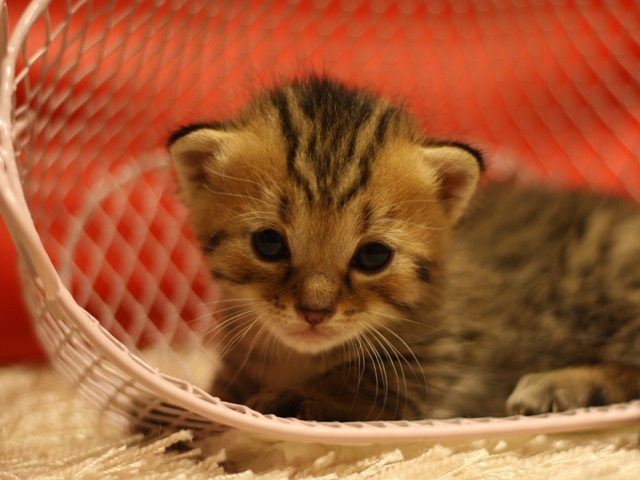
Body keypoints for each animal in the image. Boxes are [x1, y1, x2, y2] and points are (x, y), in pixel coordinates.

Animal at [168, 75, 640, 420]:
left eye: (373, 255)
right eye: (268, 243)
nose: (314, 313)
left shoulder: (429, 368)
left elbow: (355, 386)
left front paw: (290, 399)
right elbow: (221, 390)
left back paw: (563, 385)